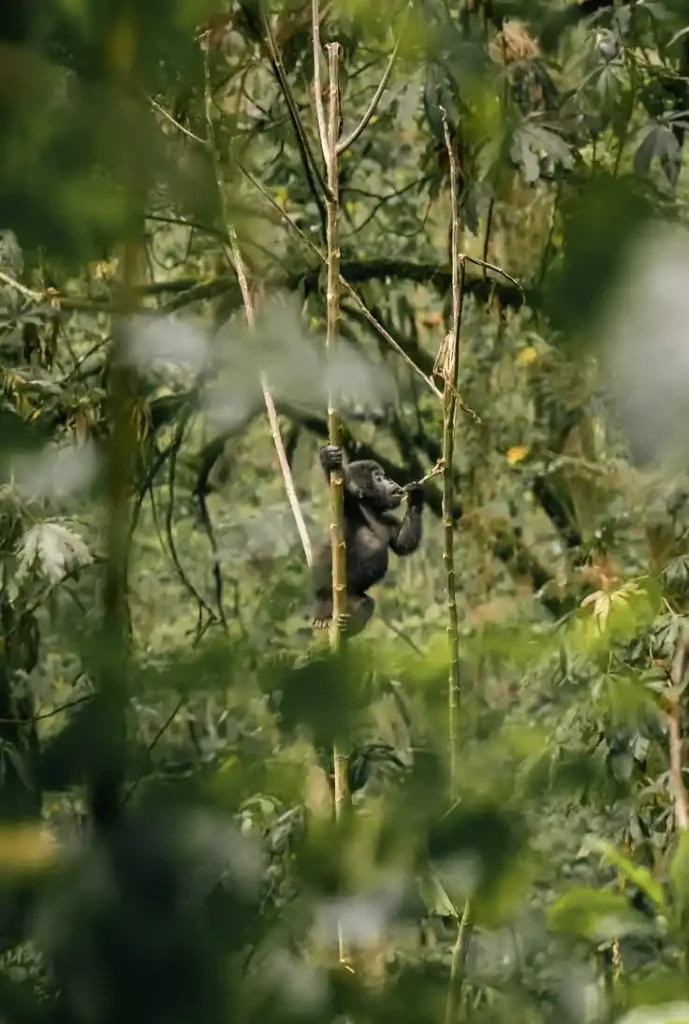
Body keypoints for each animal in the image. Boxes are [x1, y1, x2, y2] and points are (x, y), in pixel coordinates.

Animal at [312, 445, 425, 636]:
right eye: (378, 477)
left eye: (384, 477)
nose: (390, 482)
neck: (370, 510)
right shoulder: (349, 507)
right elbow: (339, 490)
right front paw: (327, 459)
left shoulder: (387, 520)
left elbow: (403, 543)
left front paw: (415, 498)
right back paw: (322, 608)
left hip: (351, 599)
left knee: (366, 604)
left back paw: (351, 625)